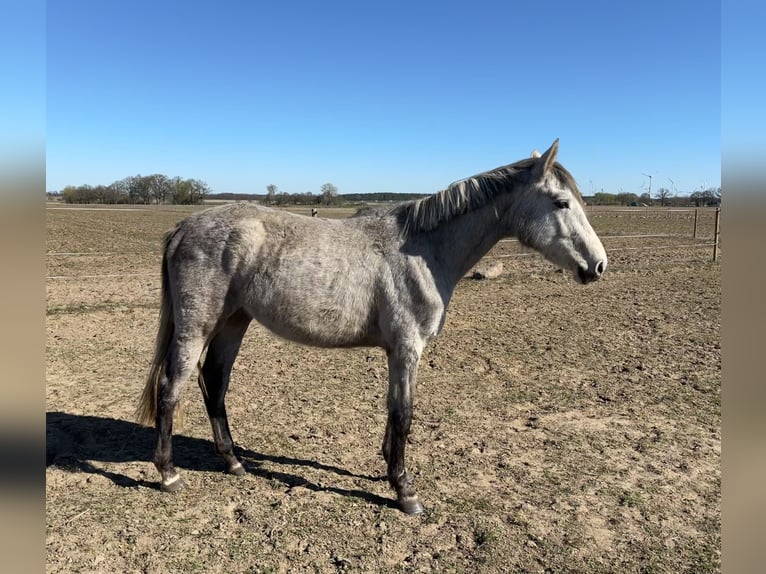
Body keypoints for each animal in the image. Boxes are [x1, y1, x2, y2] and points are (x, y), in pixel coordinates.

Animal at [136, 140, 607, 515]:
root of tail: (184, 227)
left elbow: (394, 411)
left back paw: (233, 461)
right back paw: (168, 473)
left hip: (234, 322)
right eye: (561, 203)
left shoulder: (399, 351)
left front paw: (389, 471)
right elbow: (403, 414)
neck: (423, 250)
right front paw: (405, 491)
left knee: (214, 383)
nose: (598, 265)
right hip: (197, 325)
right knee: (172, 387)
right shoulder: (406, 348)